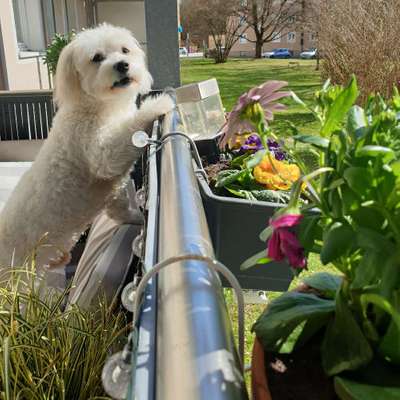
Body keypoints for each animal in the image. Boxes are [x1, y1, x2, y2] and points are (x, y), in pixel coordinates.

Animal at [0, 24, 173, 268]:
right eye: (97, 58)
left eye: (125, 50)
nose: (123, 64)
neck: (96, 105)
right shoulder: (101, 153)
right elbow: (128, 131)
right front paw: (158, 104)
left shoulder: (112, 191)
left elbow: (120, 210)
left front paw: (136, 218)